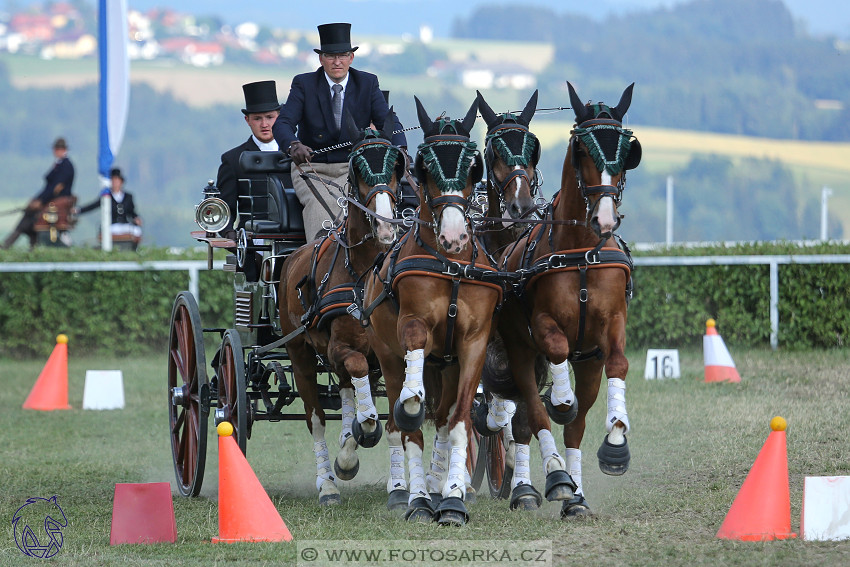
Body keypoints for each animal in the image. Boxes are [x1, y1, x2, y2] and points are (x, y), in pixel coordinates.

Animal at [274, 111, 402, 506]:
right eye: (358, 168)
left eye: (397, 165)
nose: (386, 226)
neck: (365, 270)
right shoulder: (338, 347)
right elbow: (364, 404)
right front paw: (357, 442)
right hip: (299, 352)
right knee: (315, 418)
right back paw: (328, 483)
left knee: (346, 392)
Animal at [480, 82, 640, 516]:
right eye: (583, 150)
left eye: (627, 150)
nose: (605, 219)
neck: (581, 250)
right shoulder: (539, 327)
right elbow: (555, 351)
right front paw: (561, 397)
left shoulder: (610, 328)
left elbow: (619, 363)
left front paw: (616, 442)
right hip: (519, 353)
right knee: (531, 416)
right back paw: (547, 479)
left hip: (587, 364)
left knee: (573, 427)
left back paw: (574, 494)